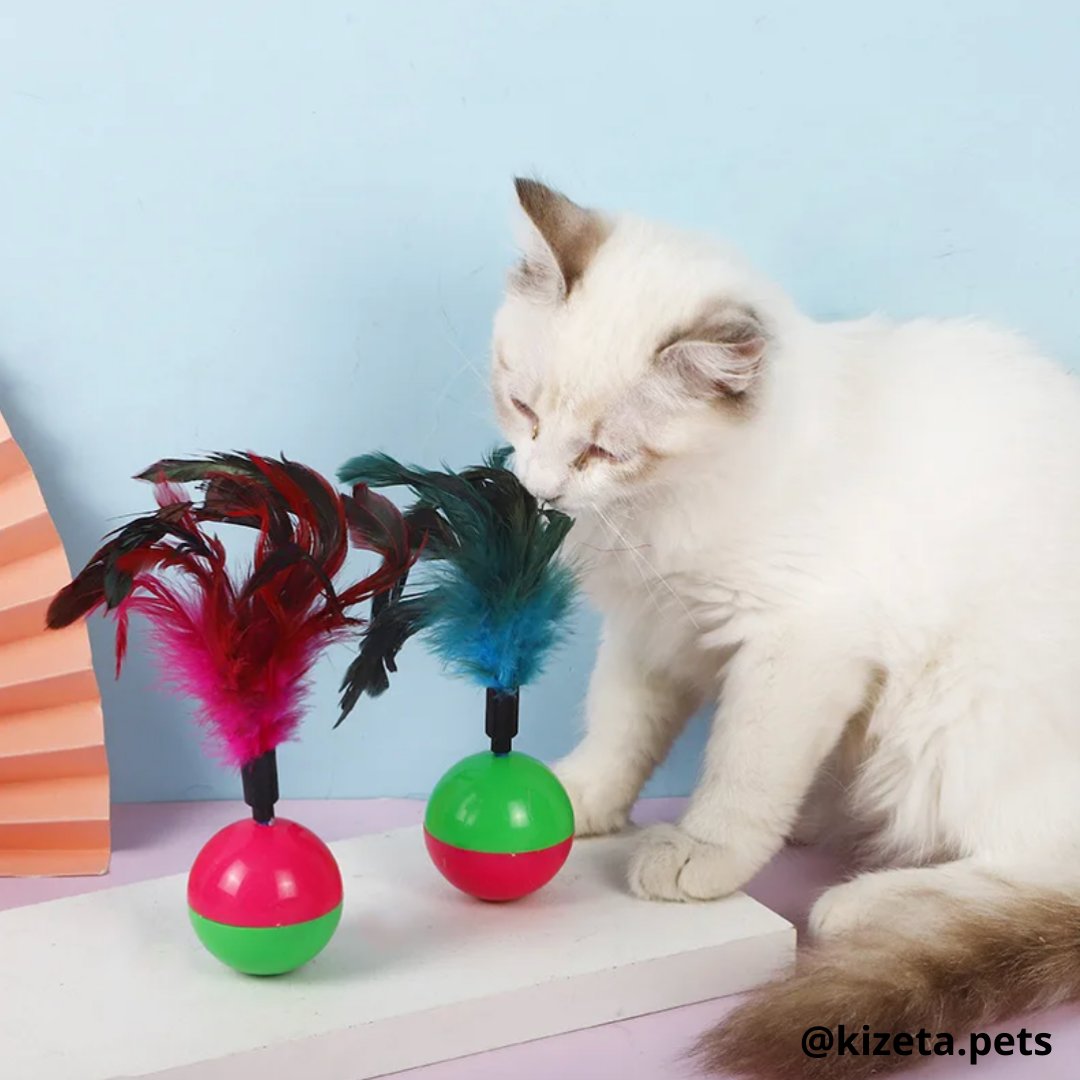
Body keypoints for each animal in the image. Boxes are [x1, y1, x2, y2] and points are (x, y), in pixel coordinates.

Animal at [492, 179, 1080, 1080]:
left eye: (602, 452)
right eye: (523, 408)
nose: (541, 487)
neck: (659, 510)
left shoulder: (799, 640)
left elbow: (743, 770)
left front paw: (702, 852)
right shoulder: (655, 627)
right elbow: (621, 729)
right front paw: (580, 798)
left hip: (954, 720)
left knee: (1043, 876)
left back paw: (871, 906)